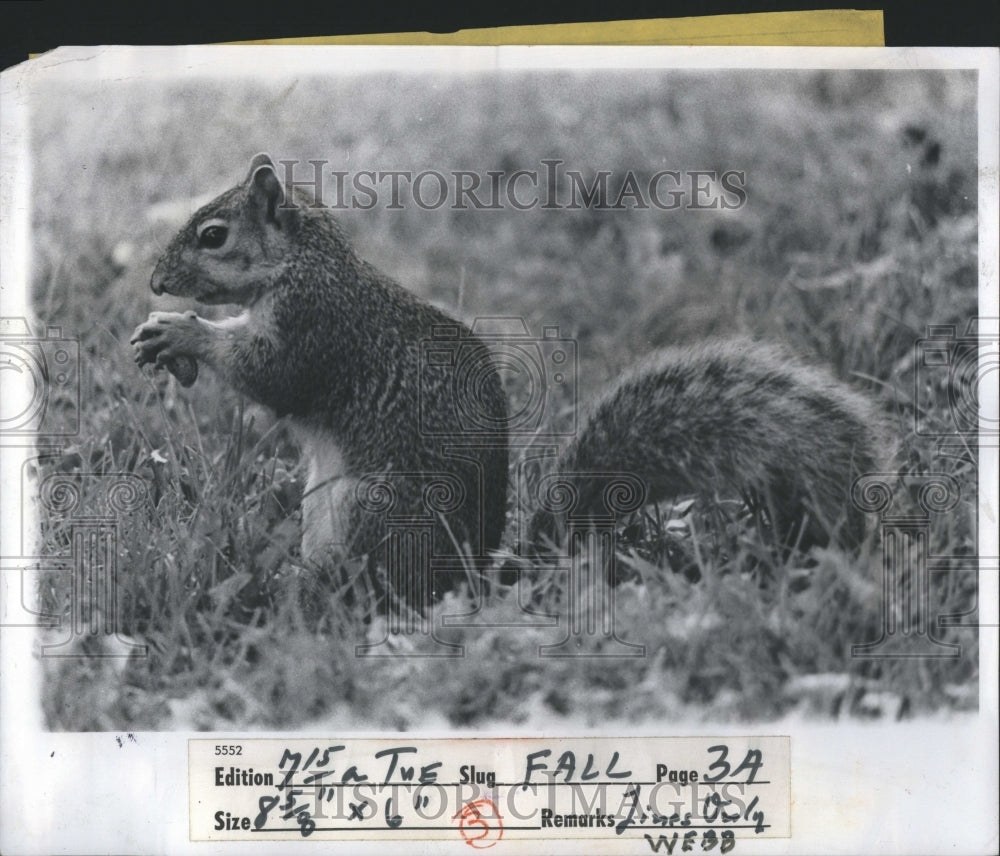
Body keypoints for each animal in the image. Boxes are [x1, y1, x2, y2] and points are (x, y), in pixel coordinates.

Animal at [135, 157, 884, 604]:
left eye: (212, 235)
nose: (157, 281)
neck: (304, 260)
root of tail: (467, 578)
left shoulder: (318, 325)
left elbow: (273, 374)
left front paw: (183, 331)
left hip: (376, 507)